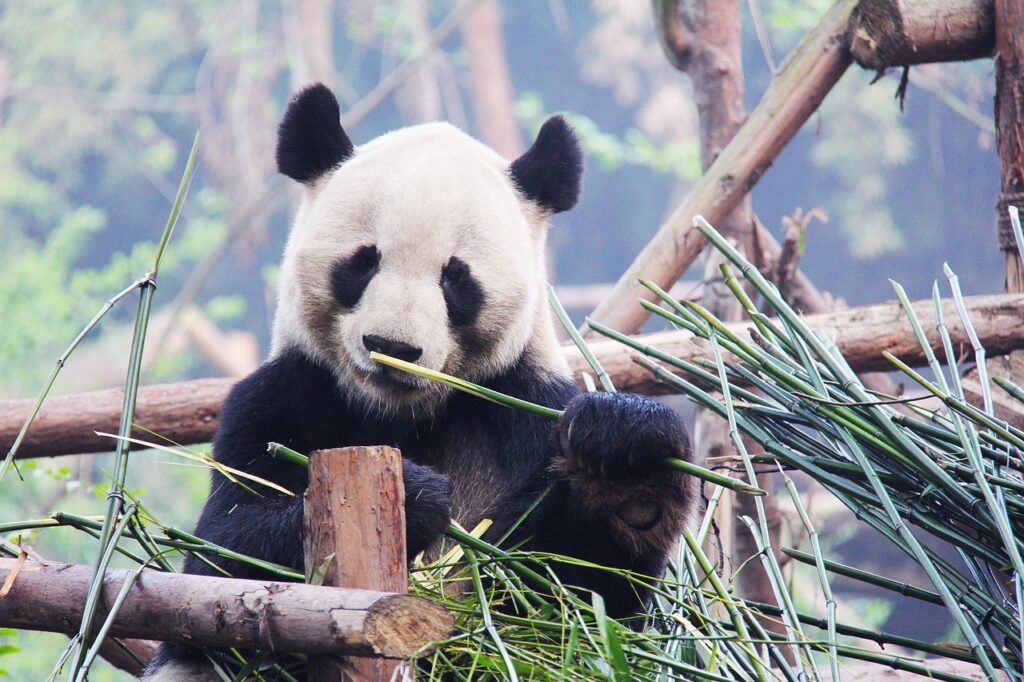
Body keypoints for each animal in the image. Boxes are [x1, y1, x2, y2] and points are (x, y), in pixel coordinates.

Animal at [145, 83, 697, 680]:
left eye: (455, 276)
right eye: (364, 262)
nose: (393, 347)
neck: (402, 414)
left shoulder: (524, 405)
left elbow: (575, 601)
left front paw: (625, 458)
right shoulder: (279, 398)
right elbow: (217, 559)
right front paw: (415, 496)